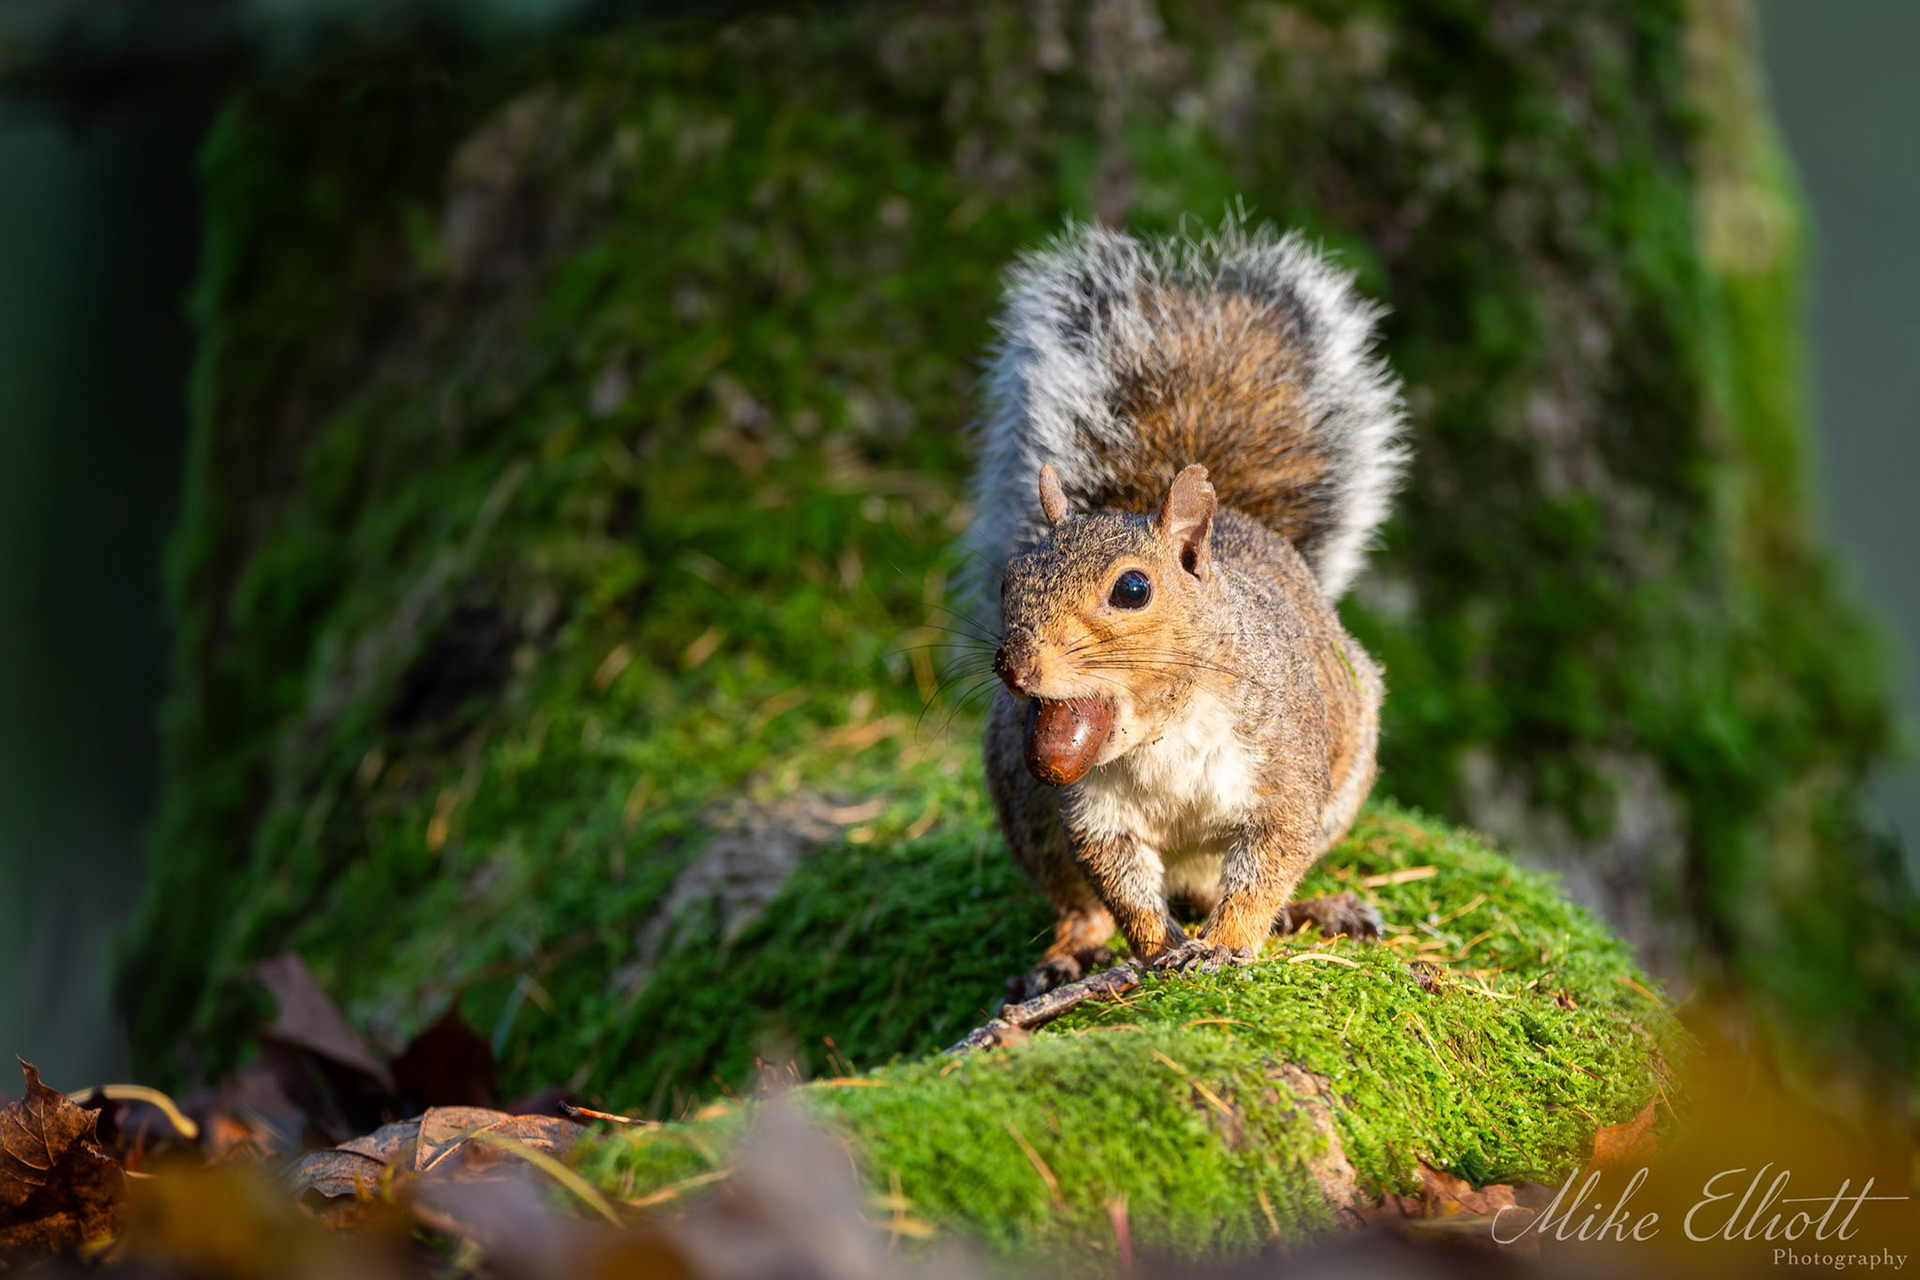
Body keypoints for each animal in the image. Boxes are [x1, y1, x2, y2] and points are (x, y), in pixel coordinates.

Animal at [967, 219, 1408, 999]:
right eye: (1010, 579)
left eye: (1133, 590)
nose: (1016, 668)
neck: (1159, 734)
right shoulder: (1094, 814)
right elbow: (1122, 888)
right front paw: (1154, 950)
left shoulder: (1283, 775)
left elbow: (1266, 866)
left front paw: (1224, 946)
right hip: (1026, 808)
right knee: (1079, 903)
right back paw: (1066, 954)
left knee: (1226, 887)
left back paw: (1310, 910)